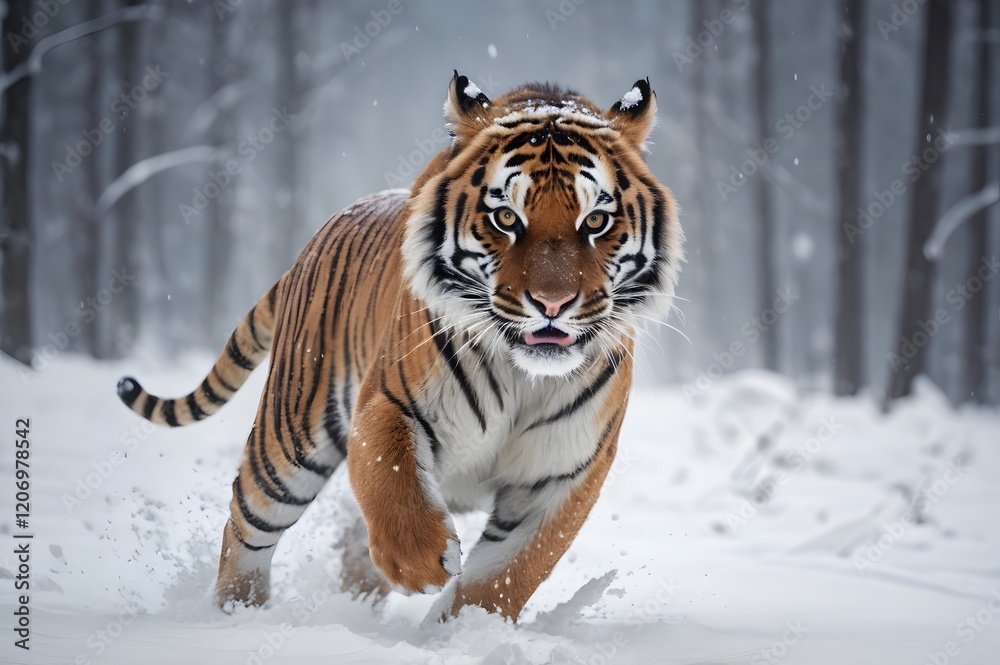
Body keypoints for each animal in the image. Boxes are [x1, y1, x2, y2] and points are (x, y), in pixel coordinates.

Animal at [116, 72, 682, 621]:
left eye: (595, 222)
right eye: (506, 219)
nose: (552, 302)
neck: (525, 375)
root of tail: (312, 246)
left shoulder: (567, 468)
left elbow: (508, 573)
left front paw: (464, 632)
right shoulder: (389, 400)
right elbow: (390, 479)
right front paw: (423, 566)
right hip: (289, 440)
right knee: (246, 522)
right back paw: (237, 614)